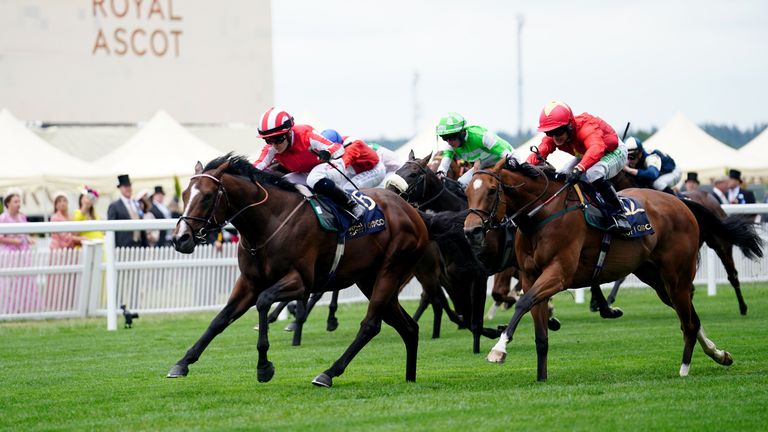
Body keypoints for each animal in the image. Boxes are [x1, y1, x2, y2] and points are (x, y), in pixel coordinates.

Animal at [168, 154, 428, 386]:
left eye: (207, 196)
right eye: (184, 194)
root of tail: (412, 211)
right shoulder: (249, 283)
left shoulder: (301, 282)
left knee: (370, 325)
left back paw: (328, 374)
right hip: (369, 279)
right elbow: (219, 319)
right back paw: (410, 377)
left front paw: (264, 366)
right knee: (409, 327)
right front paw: (182, 363)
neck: (269, 222)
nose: (180, 238)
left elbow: (263, 302)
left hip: (390, 270)